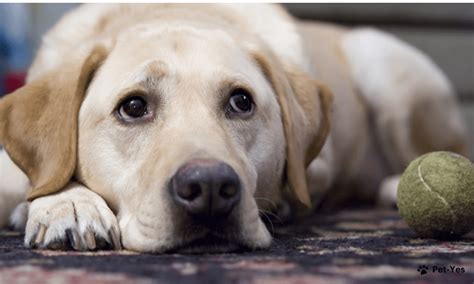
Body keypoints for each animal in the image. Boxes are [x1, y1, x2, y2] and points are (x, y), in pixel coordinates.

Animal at [0, 3, 466, 253]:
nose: (208, 189)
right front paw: (66, 203)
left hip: (389, 71)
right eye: (133, 107)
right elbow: (38, 176)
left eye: (242, 102)